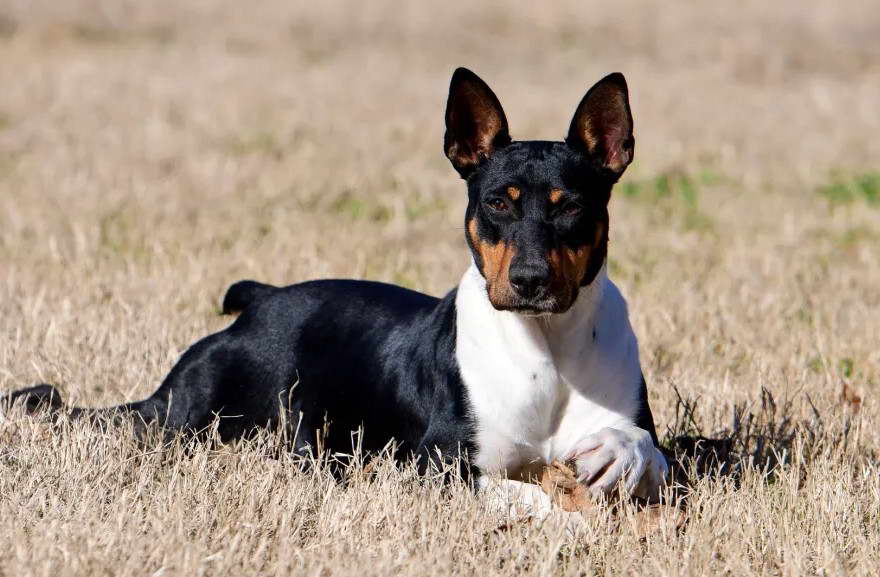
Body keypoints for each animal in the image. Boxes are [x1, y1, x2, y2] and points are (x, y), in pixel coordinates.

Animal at [3, 68, 668, 512]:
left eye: (571, 206)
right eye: (496, 204)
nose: (529, 280)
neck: (546, 346)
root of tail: (262, 299)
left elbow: (648, 452)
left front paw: (619, 451)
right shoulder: (437, 465)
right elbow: (533, 497)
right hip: (176, 416)